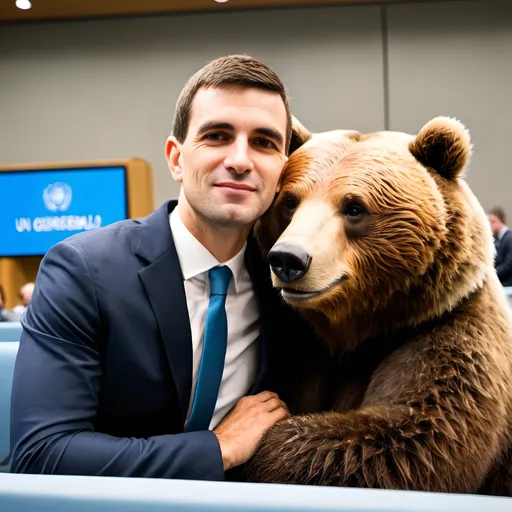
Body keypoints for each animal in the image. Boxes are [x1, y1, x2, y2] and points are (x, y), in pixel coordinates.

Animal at [248, 117, 512, 496]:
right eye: (289, 201)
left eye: (354, 207)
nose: (288, 259)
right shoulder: (303, 344)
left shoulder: (448, 333)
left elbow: (409, 438)